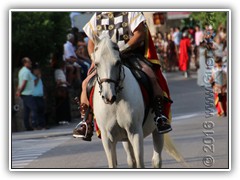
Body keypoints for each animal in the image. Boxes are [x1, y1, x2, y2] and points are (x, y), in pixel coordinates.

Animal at [93, 35, 185, 169]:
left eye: (118, 62)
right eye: (96, 64)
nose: (108, 96)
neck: (117, 101)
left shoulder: (135, 133)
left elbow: (140, 163)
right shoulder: (107, 138)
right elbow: (114, 164)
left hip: (156, 131)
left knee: (156, 160)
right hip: (125, 139)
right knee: (131, 161)